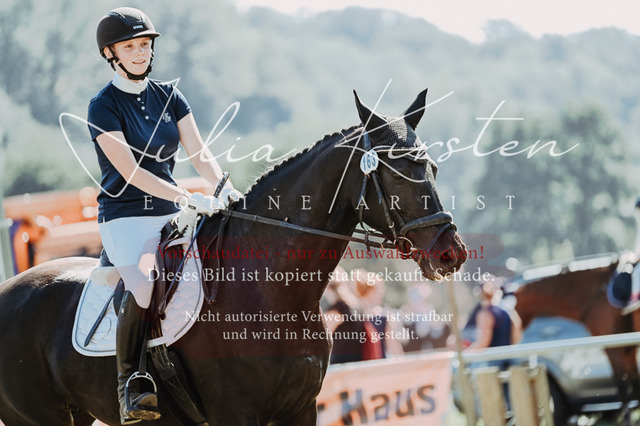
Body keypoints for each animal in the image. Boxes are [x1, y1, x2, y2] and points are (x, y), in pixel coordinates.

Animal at [0, 89, 466, 425]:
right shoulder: (236, 413)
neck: (272, 292)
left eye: (433, 169)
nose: (451, 253)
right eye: (396, 173)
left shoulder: (301, 409)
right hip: (37, 417)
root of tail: (8, 290)